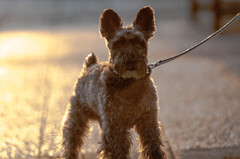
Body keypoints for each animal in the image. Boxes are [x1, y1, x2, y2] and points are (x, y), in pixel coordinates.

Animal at [61, 6, 168, 159]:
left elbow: (153, 147)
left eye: (139, 42)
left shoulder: (148, 122)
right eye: (118, 43)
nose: (130, 60)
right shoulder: (114, 126)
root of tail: (89, 65)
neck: (129, 83)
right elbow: (116, 150)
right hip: (77, 117)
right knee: (71, 140)